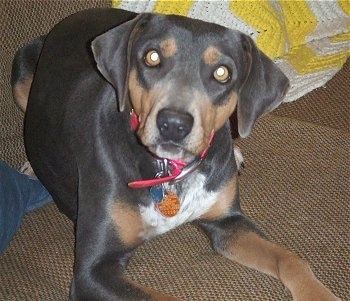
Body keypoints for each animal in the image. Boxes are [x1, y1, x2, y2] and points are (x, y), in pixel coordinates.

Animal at [12, 7, 340, 300]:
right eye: (152, 56)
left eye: (222, 72)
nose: (174, 124)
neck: (171, 170)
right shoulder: (93, 270)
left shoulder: (228, 222)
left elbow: (291, 259)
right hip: (22, 67)